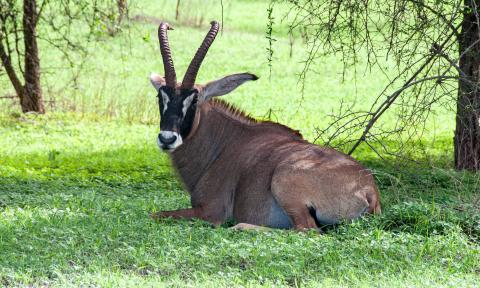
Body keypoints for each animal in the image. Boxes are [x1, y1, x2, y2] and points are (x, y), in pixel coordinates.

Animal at [148, 21, 380, 231]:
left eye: (194, 100)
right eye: (160, 96)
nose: (167, 139)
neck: (223, 141)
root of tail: (369, 190)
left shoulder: (210, 211)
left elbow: (155, 214)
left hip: (284, 181)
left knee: (306, 229)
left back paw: (241, 226)